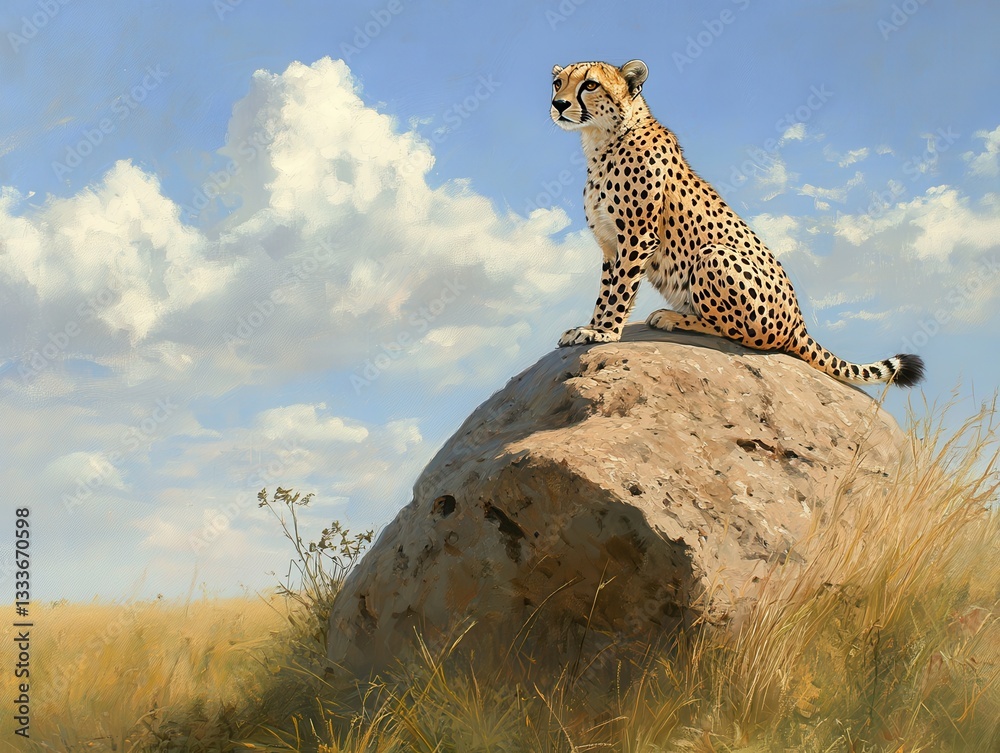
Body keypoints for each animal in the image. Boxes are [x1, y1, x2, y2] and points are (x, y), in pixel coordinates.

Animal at [550, 59, 924, 388]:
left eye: (590, 85)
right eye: (558, 82)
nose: (558, 104)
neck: (602, 140)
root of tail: (799, 325)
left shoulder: (637, 238)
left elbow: (619, 293)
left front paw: (603, 332)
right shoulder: (611, 246)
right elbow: (605, 290)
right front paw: (590, 326)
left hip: (713, 255)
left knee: (742, 334)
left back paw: (674, 318)